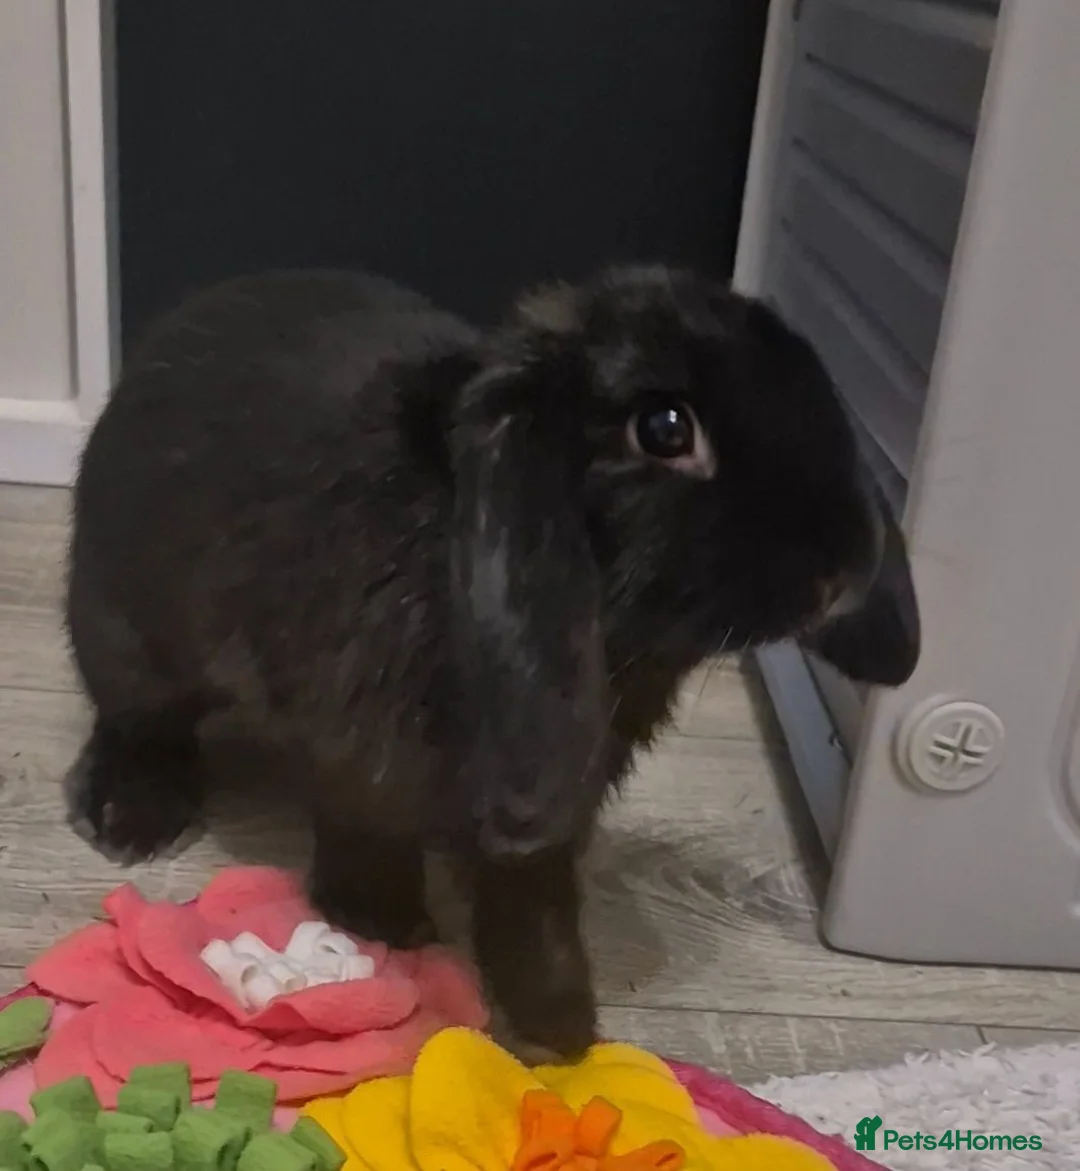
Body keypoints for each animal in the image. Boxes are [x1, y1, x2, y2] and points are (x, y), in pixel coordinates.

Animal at [65, 265, 919, 1059]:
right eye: (665, 427)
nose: (844, 566)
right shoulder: (360, 750)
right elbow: (366, 827)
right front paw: (386, 921)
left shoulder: (553, 812)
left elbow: (530, 898)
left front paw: (560, 1022)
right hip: (125, 636)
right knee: (137, 718)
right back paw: (127, 817)